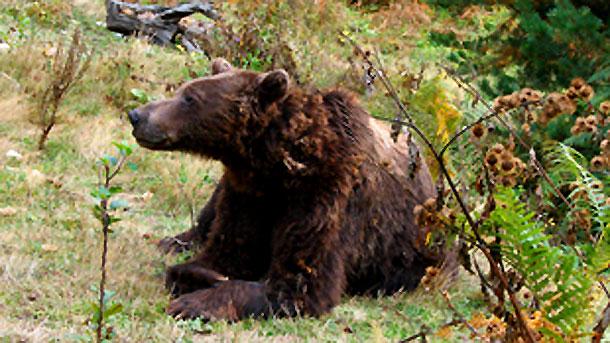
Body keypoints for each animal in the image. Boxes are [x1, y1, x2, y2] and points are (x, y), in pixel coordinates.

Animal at [128, 58, 440, 322]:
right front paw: (199, 274)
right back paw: (174, 241)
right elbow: (226, 249)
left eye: (190, 98)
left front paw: (195, 302)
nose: (136, 115)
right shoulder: (249, 193)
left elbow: (300, 281)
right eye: (184, 89)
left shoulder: (326, 195)